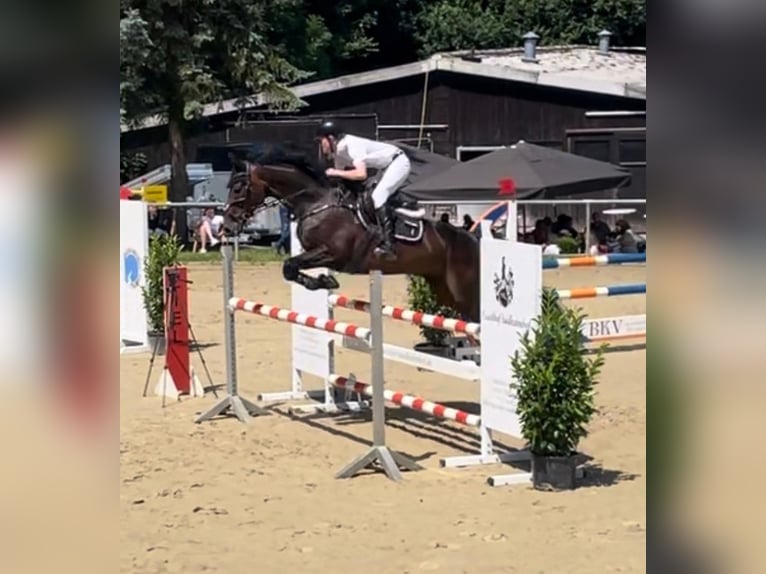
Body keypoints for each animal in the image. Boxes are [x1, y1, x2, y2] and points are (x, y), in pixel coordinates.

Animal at [221, 145, 481, 321]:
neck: (316, 203)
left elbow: (290, 265)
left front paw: (325, 280)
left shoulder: (335, 254)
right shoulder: (315, 252)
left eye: (238, 188)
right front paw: (323, 280)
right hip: (444, 291)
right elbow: (291, 267)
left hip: (463, 292)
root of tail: (472, 239)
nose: (226, 227)